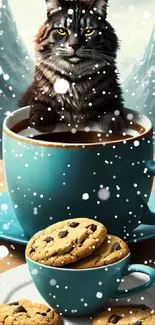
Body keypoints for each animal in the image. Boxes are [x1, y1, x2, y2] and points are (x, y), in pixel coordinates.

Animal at [18, 0, 126, 133]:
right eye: (61, 31)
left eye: (88, 31)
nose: (74, 45)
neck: (75, 80)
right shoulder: (36, 93)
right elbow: (40, 104)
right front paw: (42, 121)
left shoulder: (113, 94)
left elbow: (113, 109)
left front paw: (113, 124)